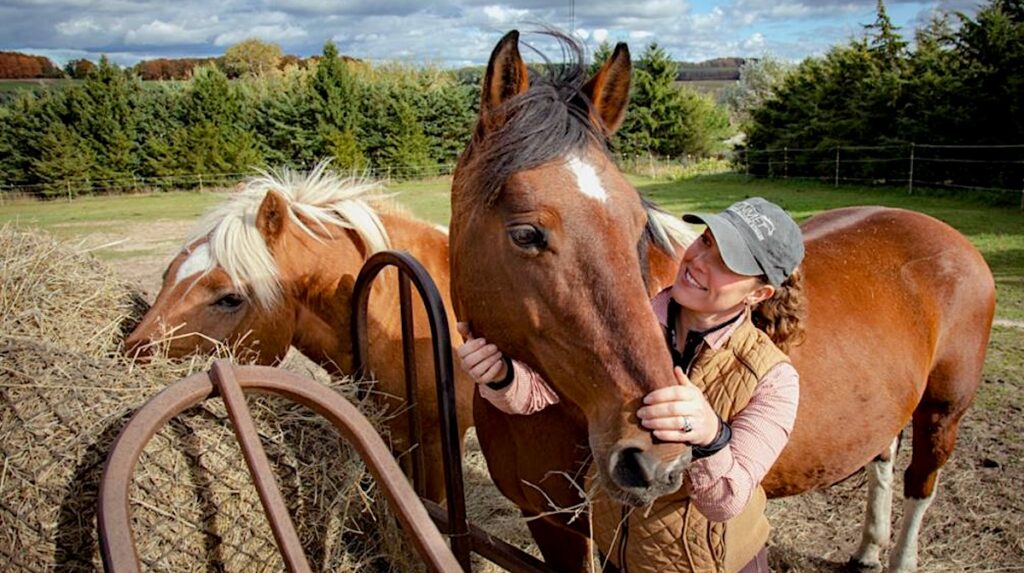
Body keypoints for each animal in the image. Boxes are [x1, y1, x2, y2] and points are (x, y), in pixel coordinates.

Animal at [449, 31, 996, 572]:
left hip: (943, 411)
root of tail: (951, 238)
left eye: (637, 226)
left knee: (920, 483)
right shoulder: (548, 522)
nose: (656, 457)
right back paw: (866, 551)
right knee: (882, 457)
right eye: (526, 233)